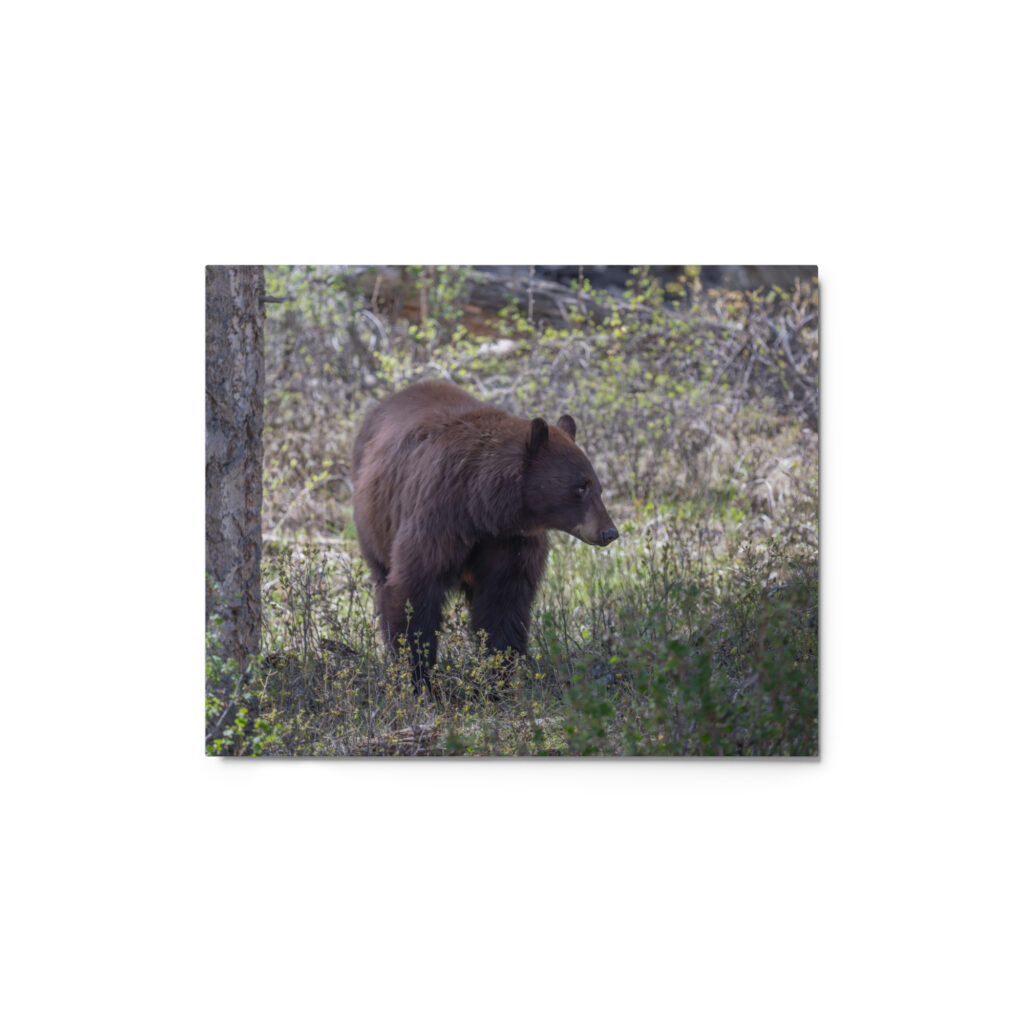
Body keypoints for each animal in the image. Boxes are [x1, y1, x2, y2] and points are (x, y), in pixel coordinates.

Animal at [351, 380, 618, 686]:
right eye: (581, 487)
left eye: (598, 487)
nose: (609, 532)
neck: (483, 509)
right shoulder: (438, 519)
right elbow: (414, 589)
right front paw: (419, 676)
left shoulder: (511, 542)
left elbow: (503, 603)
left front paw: (496, 678)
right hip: (374, 523)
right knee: (382, 576)